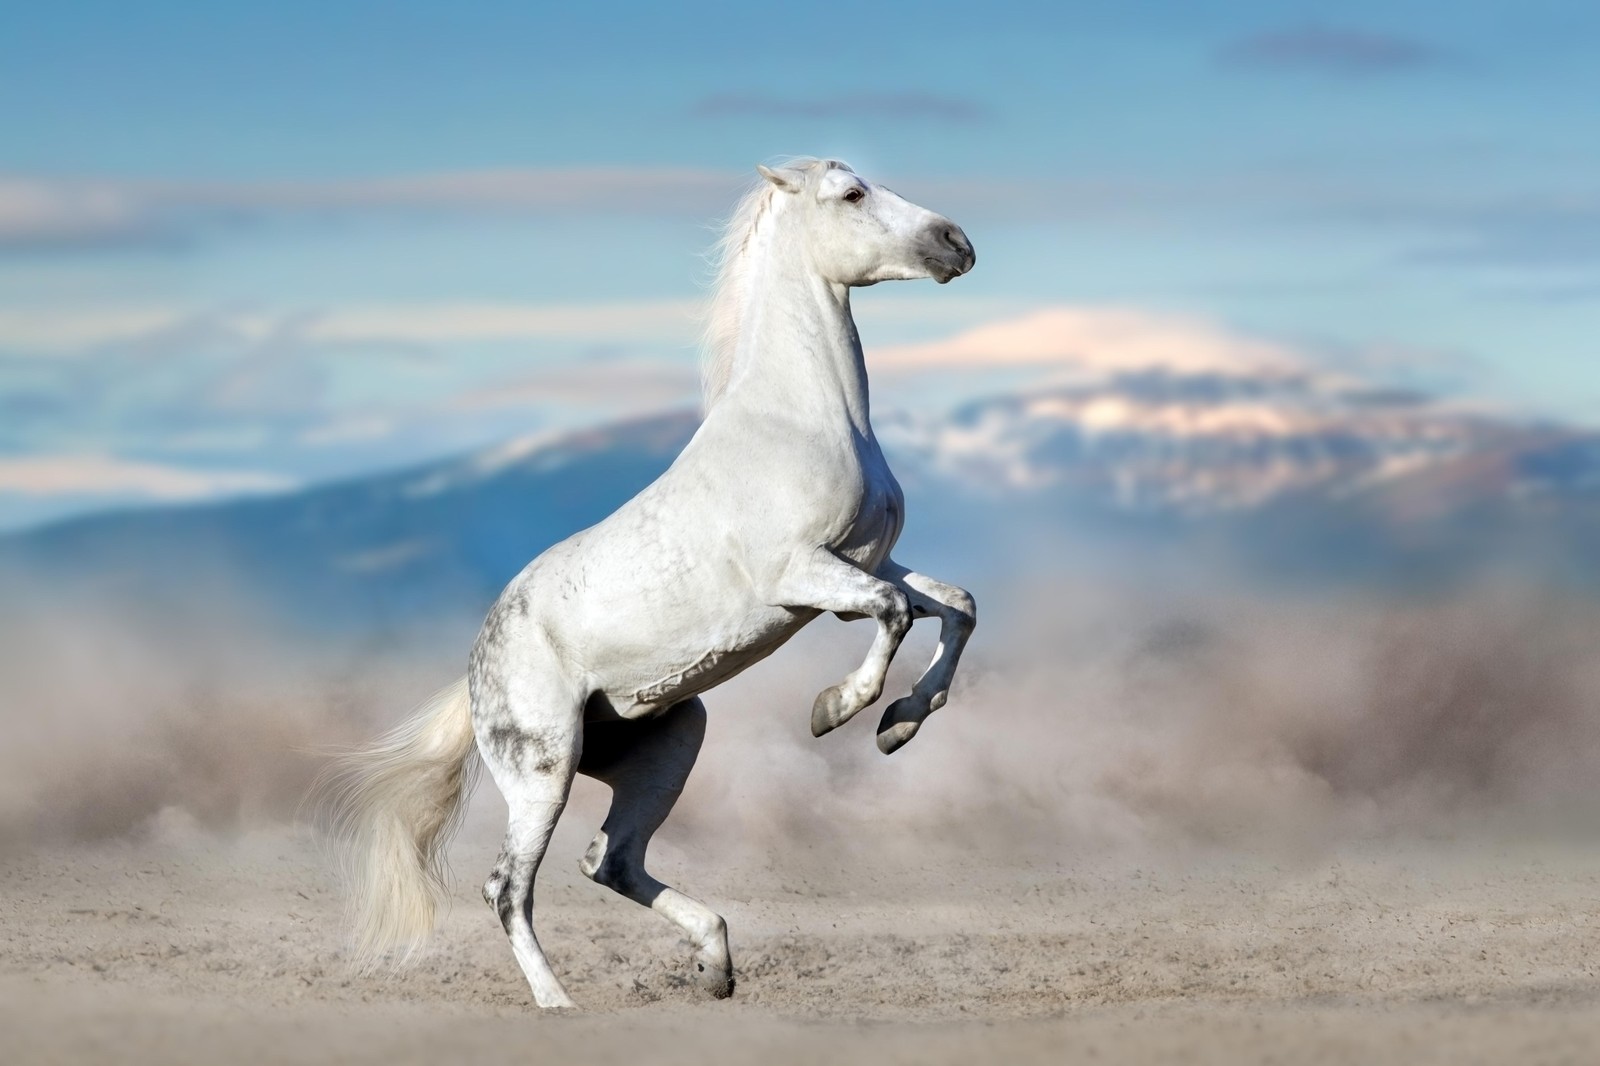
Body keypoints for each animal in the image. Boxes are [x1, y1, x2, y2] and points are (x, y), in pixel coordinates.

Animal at [329, 157, 978, 1009]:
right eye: (852, 195)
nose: (956, 242)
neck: (802, 418)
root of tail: (472, 678)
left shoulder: (864, 563)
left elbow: (957, 606)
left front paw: (900, 725)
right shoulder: (807, 575)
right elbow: (897, 613)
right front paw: (836, 711)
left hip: (667, 742)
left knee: (609, 860)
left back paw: (717, 964)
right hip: (543, 768)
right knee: (508, 887)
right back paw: (560, 1003)